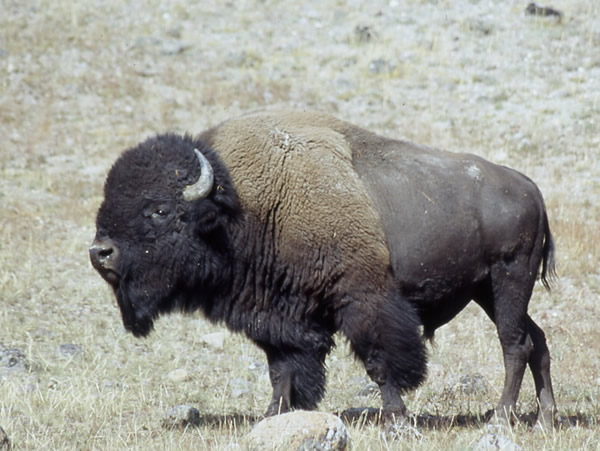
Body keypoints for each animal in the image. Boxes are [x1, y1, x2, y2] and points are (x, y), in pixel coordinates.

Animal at [89, 111, 556, 430]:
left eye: (159, 210)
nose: (100, 252)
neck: (242, 207)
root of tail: (531, 189)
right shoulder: (279, 318)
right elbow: (282, 370)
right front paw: (273, 416)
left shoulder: (363, 302)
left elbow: (381, 363)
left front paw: (396, 419)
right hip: (487, 292)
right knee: (536, 340)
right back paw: (546, 418)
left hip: (508, 280)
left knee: (515, 345)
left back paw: (502, 417)